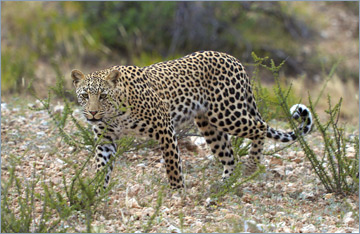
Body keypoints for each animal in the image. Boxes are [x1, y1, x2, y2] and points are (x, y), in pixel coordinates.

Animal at [71, 50, 312, 191]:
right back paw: (224, 185)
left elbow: (172, 164)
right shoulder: (106, 140)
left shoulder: (164, 127)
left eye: (103, 96)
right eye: (84, 96)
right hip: (210, 125)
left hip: (227, 113)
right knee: (230, 155)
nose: (93, 113)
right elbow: (101, 167)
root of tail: (234, 59)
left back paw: (251, 167)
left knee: (260, 128)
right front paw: (96, 192)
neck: (115, 113)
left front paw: (177, 192)